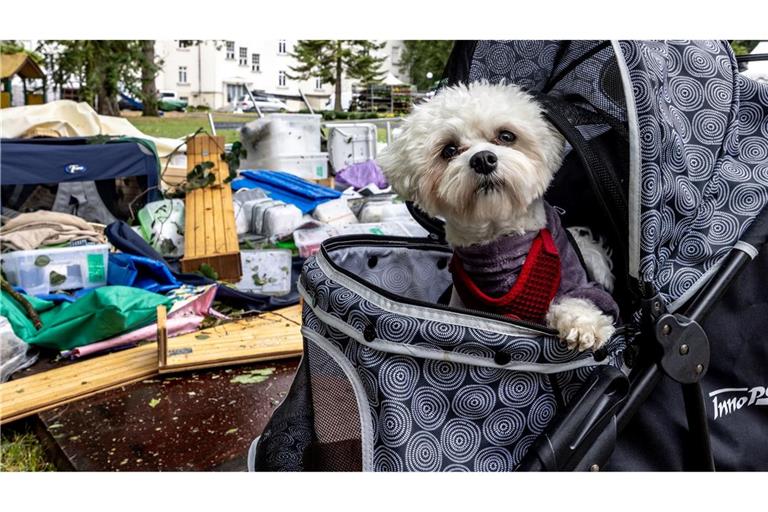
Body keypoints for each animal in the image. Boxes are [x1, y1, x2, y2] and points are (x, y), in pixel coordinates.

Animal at [378, 82, 616, 352]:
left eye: (506, 136)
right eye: (449, 150)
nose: (483, 159)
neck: (500, 244)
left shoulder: (575, 279)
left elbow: (583, 299)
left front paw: (583, 324)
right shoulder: (462, 302)